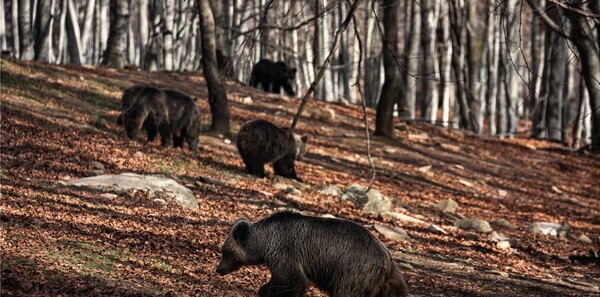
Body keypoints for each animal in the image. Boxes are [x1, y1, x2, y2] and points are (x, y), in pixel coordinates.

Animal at [216, 212, 408, 294]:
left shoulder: (286, 253)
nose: (218, 269)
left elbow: (292, 282)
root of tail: (386, 258)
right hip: (387, 280)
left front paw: (266, 291)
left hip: (353, 271)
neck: (266, 244)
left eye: (225, 251)